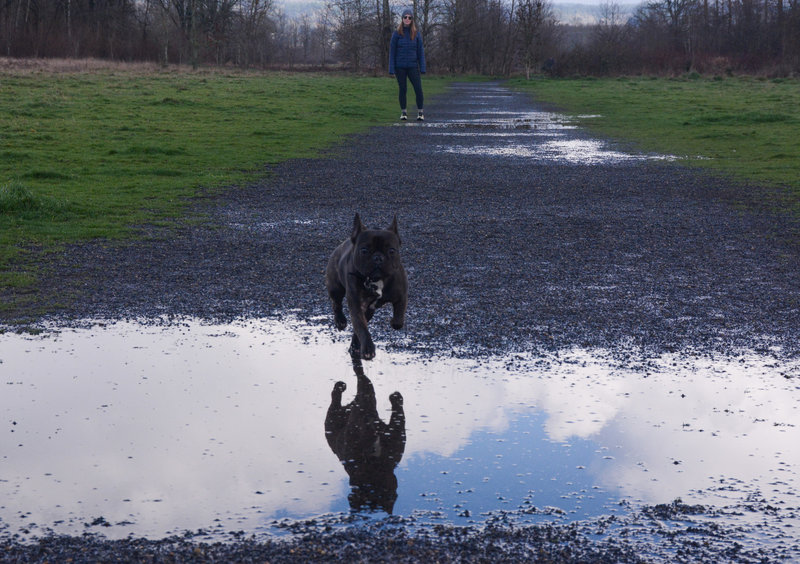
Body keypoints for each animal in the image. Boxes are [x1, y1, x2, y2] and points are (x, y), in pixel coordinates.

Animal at [324, 214, 406, 360]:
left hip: (368, 310)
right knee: (336, 304)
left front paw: (394, 322)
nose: (378, 257)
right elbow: (361, 327)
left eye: (391, 250)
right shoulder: (356, 305)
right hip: (335, 288)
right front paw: (368, 348)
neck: (377, 280)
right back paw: (340, 321)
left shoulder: (401, 295)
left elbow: (399, 316)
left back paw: (356, 345)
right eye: (364, 250)